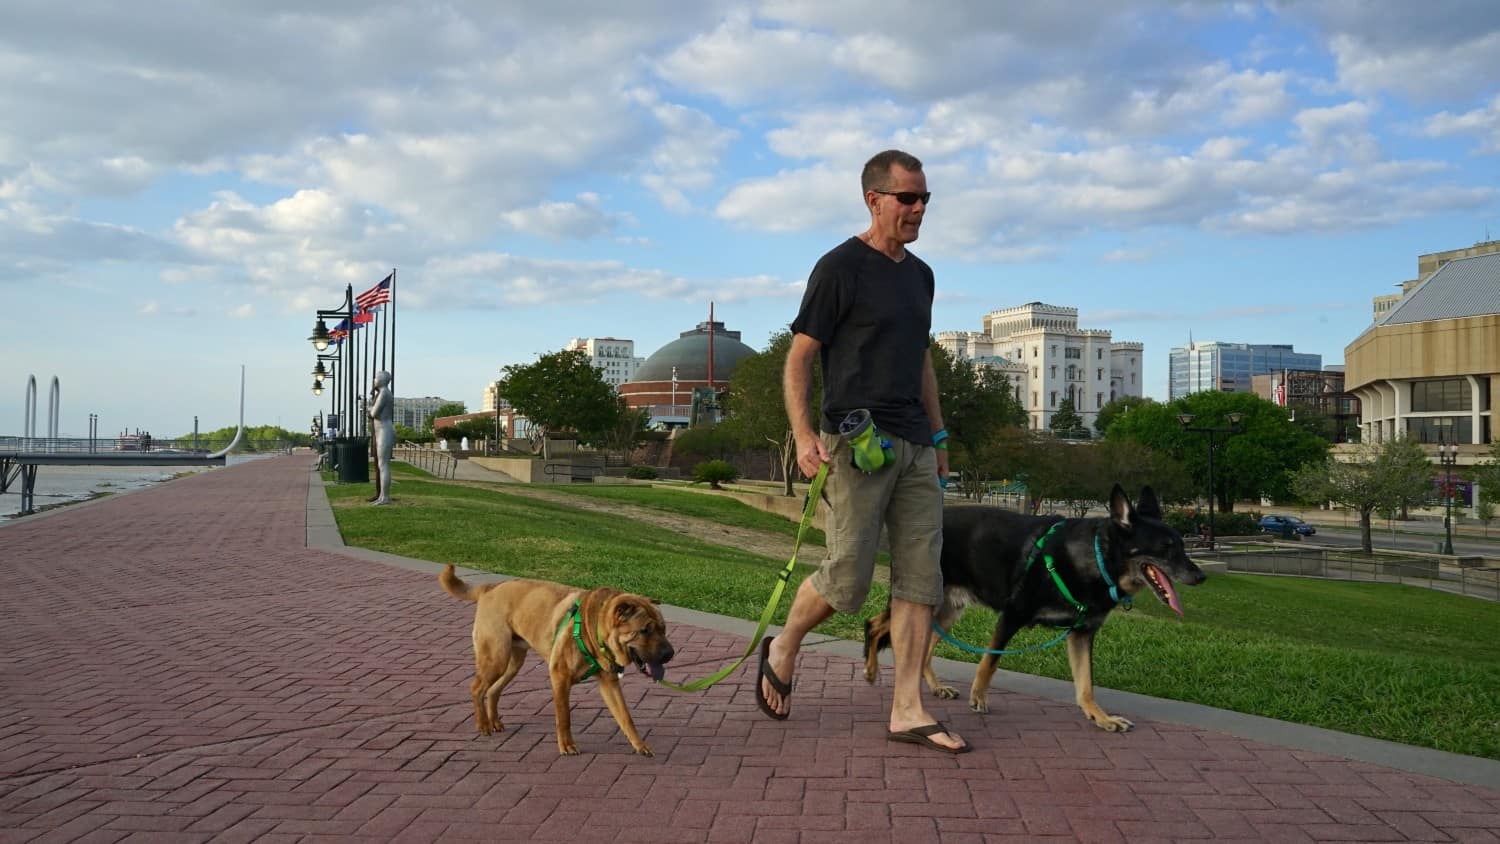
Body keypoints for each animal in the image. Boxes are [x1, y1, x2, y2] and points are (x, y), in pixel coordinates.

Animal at [438, 566, 675, 758]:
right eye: (645, 630)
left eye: (663, 629)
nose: (670, 654)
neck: (594, 628)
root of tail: (489, 587)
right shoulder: (560, 676)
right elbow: (564, 717)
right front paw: (567, 746)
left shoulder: (609, 683)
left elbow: (626, 717)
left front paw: (640, 745)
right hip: (496, 658)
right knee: (477, 688)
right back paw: (483, 725)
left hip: (512, 663)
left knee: (493, 689)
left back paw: (494, 721)